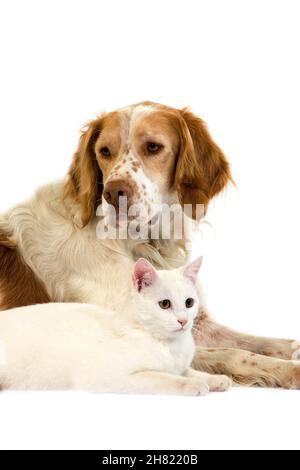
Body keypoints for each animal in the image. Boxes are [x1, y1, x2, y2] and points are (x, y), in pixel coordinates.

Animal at [0, 258, 232, 394]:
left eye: (189, 302)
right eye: (165, 304)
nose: (184, 321)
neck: (170, 345)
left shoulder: (180, 366)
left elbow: (188, 371)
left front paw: (216, 379)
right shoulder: (109, 377)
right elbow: (164, 378)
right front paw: (193, 385)